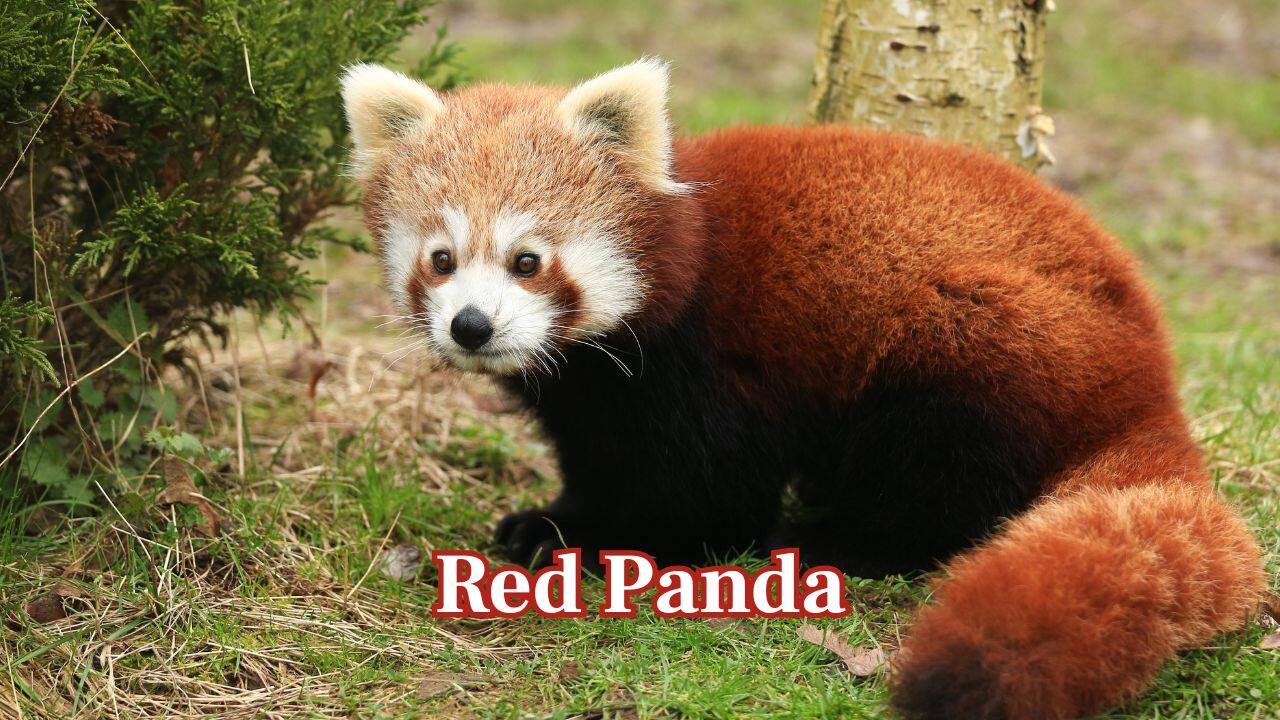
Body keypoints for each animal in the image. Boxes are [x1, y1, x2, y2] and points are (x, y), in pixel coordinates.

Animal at [340, 59, 1265, 719]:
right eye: (441, 259)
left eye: (527, 260)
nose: (472, 326)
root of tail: (1146, 379)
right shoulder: (593, 396)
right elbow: (596, 456)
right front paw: (554, 520)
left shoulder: (711, 367)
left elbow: (711, 495)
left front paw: (618, 543)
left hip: (989, 335)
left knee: (940, 470)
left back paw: (839, 537)